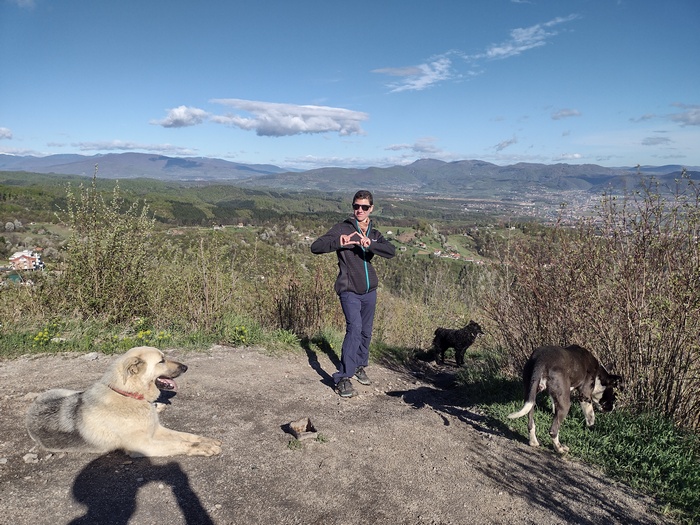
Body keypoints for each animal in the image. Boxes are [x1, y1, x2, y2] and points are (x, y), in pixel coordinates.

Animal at [26, 346, 222, 457]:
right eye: (161, 360)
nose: (186, 367)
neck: (129, 395)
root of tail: (32, 407)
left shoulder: (157, 430)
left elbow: (187, 435)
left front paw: (206, 441)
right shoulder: (144, 445)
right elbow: (179, 444)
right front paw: (202, 448)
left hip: (69, 391)